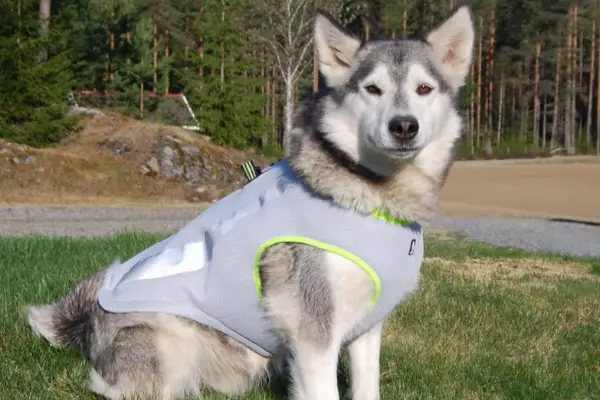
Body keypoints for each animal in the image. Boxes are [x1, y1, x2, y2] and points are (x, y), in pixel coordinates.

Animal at [25, 6, 474, 400]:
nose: (404, 126)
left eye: (423, 89)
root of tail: (87, 324)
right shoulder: (313, 332)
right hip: (168, 347)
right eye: (373, 89)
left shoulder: (366, 328)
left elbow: (367, 386)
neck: (371, 200)